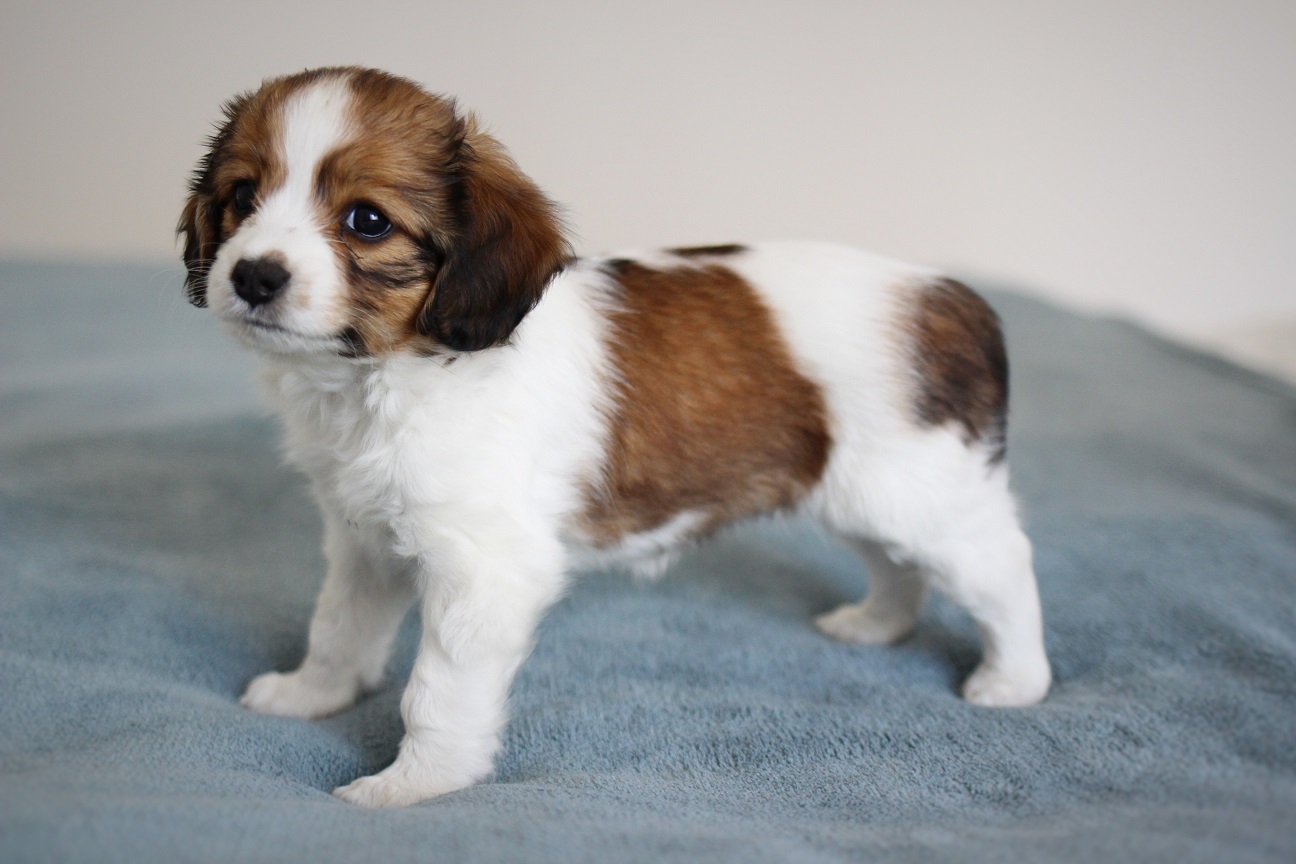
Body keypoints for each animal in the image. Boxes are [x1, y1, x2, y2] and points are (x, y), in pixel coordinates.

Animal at [179, 66, 1050, 808]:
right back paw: (877, 624)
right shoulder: (365, 538)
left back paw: (1015, 681)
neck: (390, 373)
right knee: (897, 565)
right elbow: (338, 626)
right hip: (859, 490)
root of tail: (947, 294)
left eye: (366, 221)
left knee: (1001, 567)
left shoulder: (485, 569)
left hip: (919, 494)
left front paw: (413, 785)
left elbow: (436, 692)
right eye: (242, 195)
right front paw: (310, 694)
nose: (254, 275)